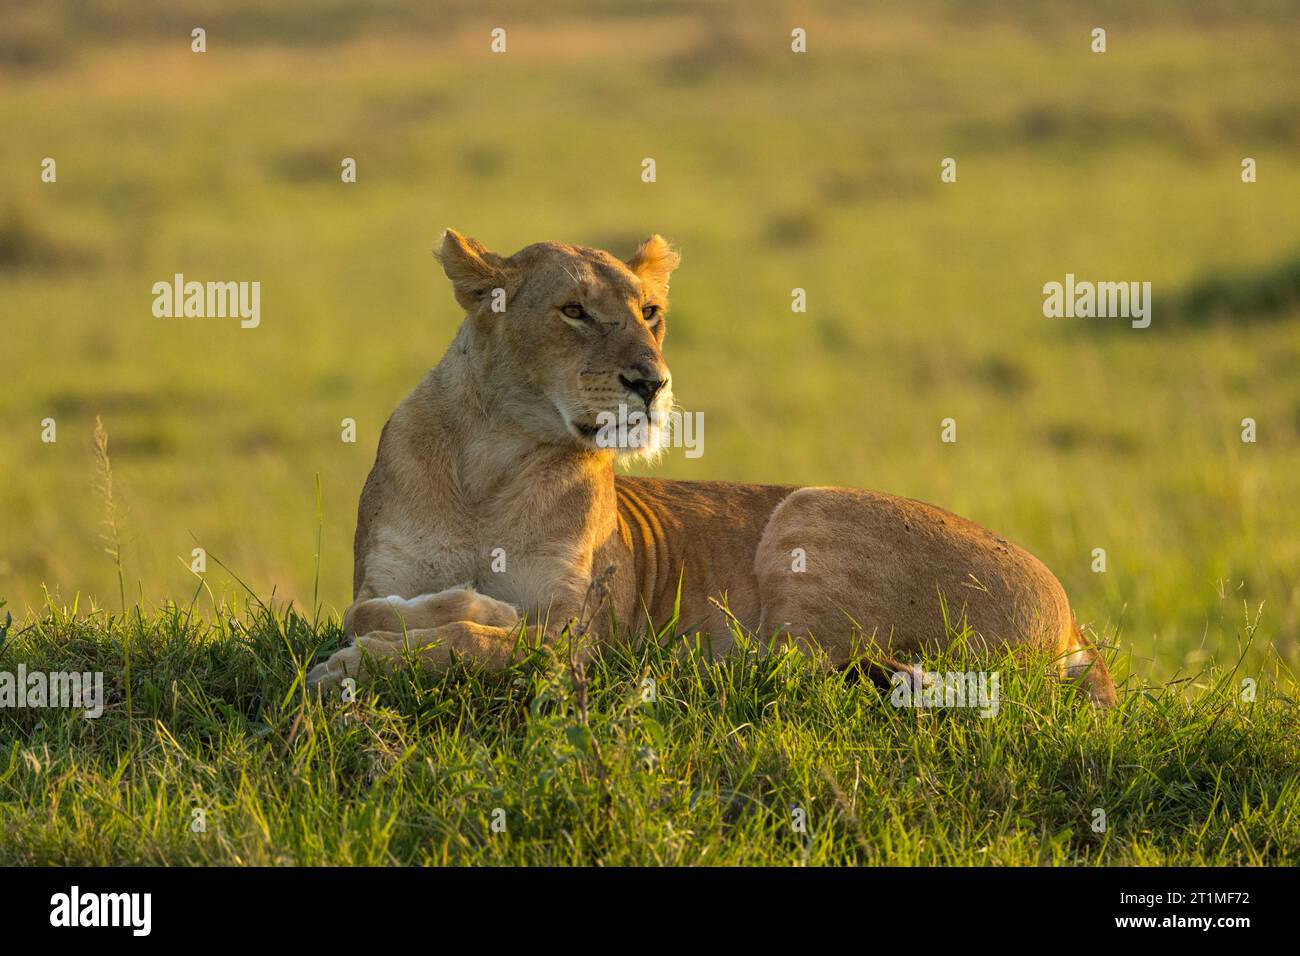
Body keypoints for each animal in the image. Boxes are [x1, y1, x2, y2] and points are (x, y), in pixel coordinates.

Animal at [306, 229, 1118, 706]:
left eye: (651, 312)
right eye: (573, 311)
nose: (652, 382)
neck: (494, 461)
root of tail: (1073, 620)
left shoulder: (575, 644)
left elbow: (482, 643)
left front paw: (360, 665)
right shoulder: (386, 576)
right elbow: (366, 611)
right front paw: (398, 636)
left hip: (810, 511)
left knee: (783, 671)